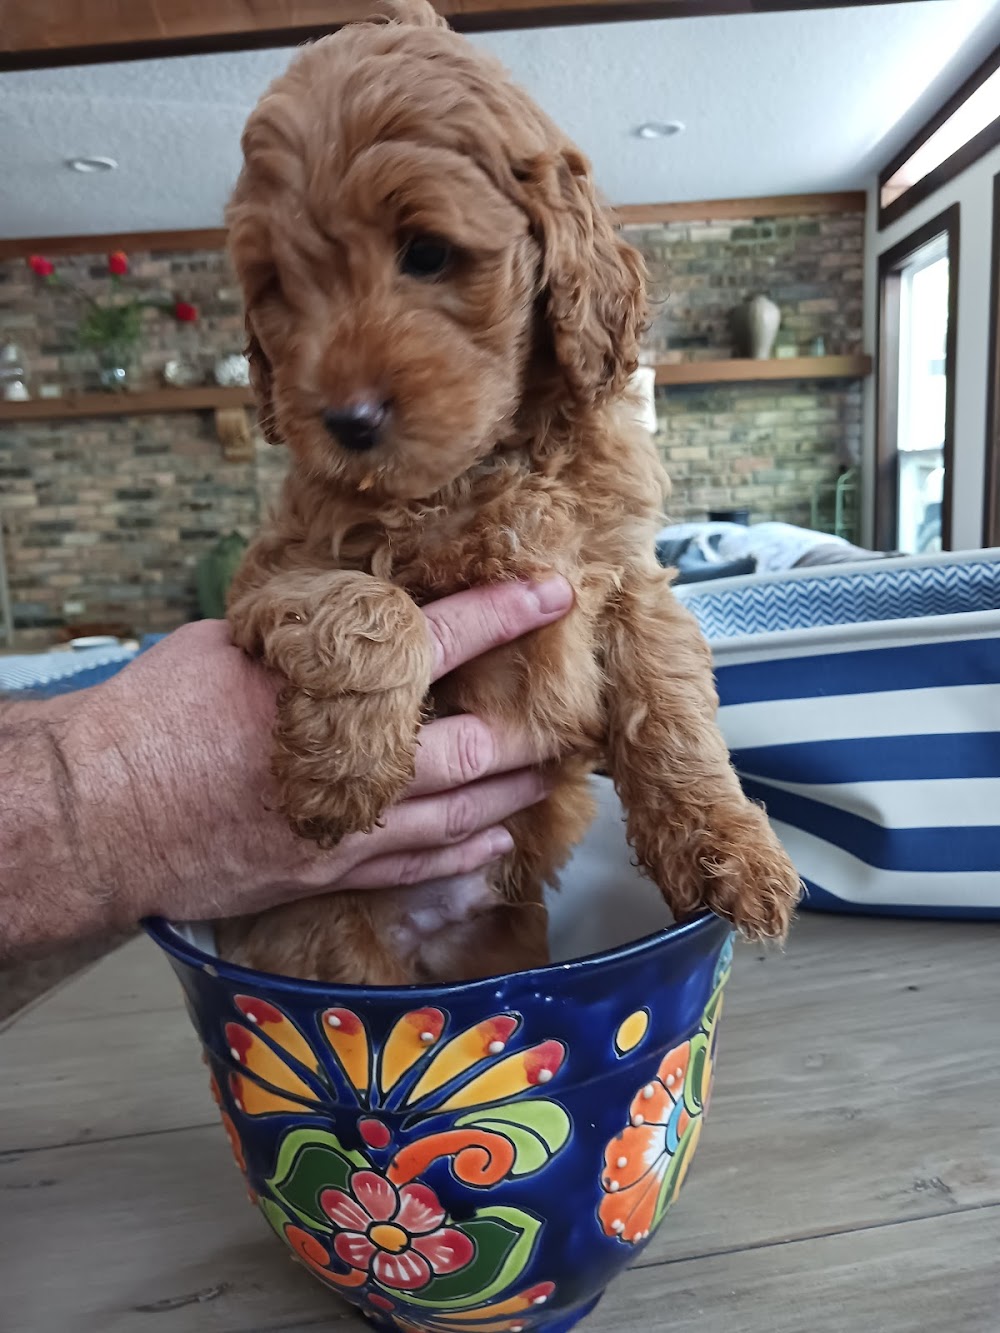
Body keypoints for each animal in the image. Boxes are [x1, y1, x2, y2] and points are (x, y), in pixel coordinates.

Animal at [217, 0, 800, 986]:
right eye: (278, 288)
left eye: (426, 252)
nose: (343, 420)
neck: (487, 468)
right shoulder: (275, 570)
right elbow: (372, 605)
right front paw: (342, 770)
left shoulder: (625, 578)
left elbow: (672, 707)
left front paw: (729, 848)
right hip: (331, 955)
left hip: (502, 935)